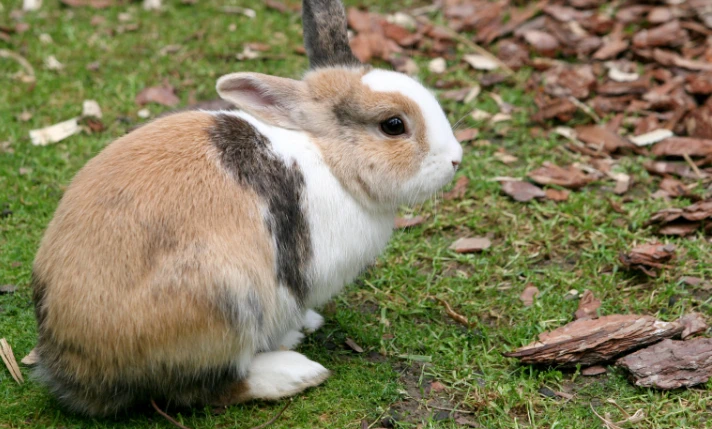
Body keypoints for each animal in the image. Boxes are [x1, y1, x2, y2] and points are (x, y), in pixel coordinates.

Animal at [30, 0, 463, 417]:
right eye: (393, 125)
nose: (456, 159)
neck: (331, 161)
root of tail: (74, 366)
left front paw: (309, 322)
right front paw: (296, 333)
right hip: (227, 300)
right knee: (201, 388)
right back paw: (295, 372)